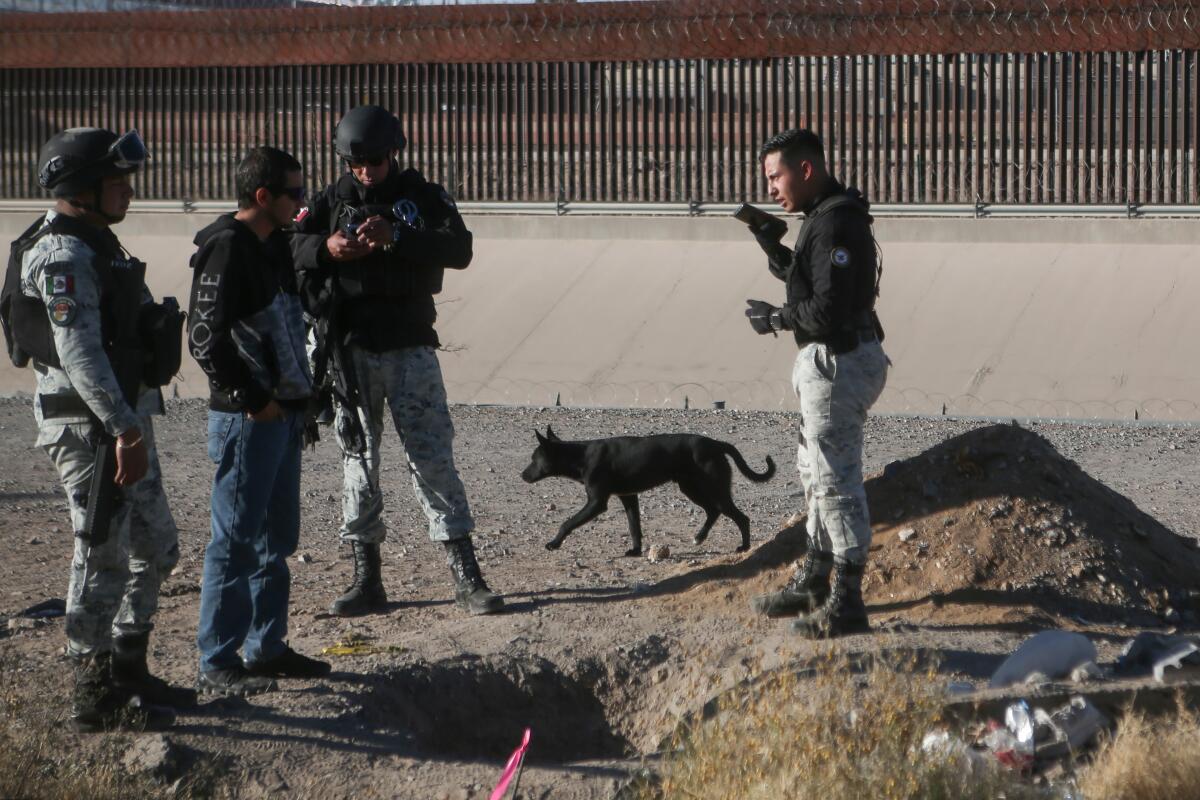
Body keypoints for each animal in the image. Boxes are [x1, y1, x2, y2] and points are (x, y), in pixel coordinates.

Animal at [520, 424, 772, 556]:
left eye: (534, 459)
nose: (522, 475)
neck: (581, 456)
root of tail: (716, 444)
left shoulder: (596, 502)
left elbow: (567, 522)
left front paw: (554, 543)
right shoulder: (629, 497)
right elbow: (634, 527)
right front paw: (636, 550)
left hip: (713, 488)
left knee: (740, 517)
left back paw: (744, 546)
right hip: (691, 488)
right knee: (713, 511)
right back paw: (699, 538)